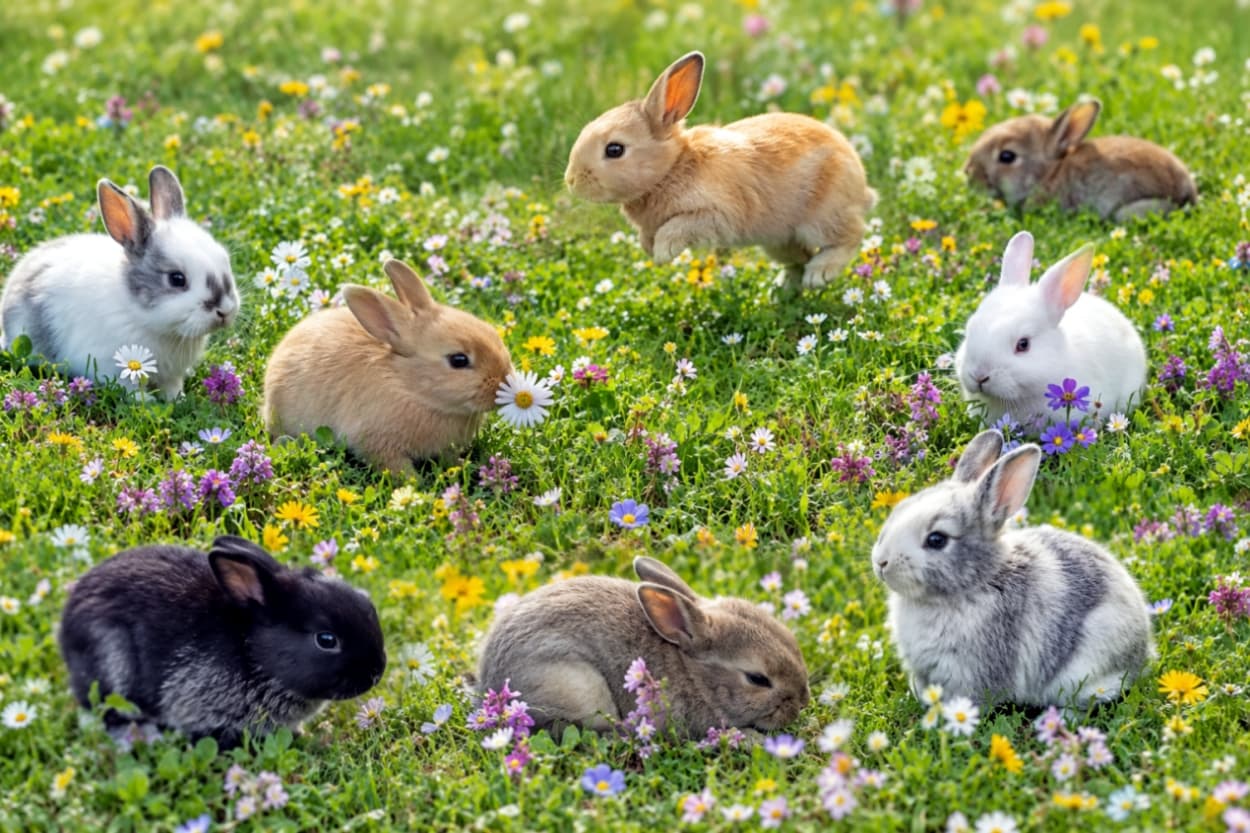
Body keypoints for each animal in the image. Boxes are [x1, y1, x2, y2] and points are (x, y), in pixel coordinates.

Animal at [0, 165, 239, 399]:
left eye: (225, 259)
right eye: (177, 279)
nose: (225, 311)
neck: (138, 314)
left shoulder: (171, 374)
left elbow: (172, 386)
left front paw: (178, 399)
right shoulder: (110, 364)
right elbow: (128, 388)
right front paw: (147, 401)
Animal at [58, 535, 387, 748]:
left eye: (366, 604)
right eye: (326, 639)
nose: (376, 672)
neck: (253, 653)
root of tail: (64, 630)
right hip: (113, 665)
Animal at [262, 259, 513, 476]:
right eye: (458, 360)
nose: (504, 383)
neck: (408, 386)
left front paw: (462, 465)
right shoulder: (378, 444)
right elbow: (395, 467)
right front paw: (415, 484)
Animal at [564, 51, 877, 290]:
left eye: (614, 149)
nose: (572, 180)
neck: (672, 169)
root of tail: (862, 188)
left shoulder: (714, 215)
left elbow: (676, 226)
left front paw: (664, 253)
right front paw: (649, 250)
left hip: (821, 218)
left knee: (851, 236)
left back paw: (819, 274)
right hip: (778, 240)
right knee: (798, 258)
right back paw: (782, 288)